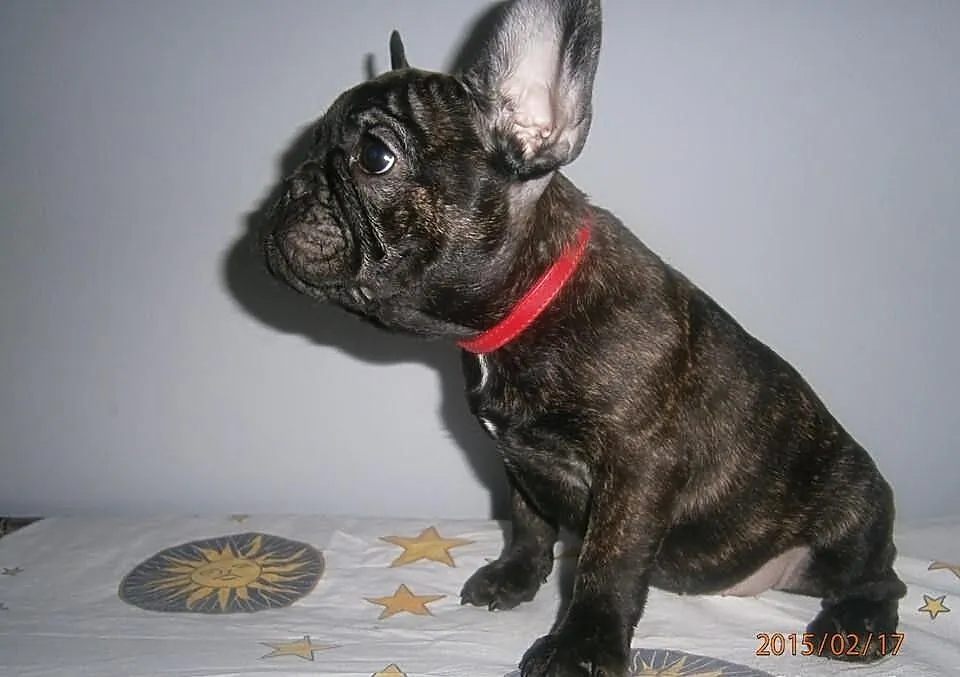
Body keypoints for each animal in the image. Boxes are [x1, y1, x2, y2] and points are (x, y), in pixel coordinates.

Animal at [262, 1, 908, 674]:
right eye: (309, 145)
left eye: (374, 156)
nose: (291, 186)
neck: (528, 308)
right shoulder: (517, 459)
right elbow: (528, 522)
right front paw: (515, 577)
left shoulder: (637, 469)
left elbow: (607, 563)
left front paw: (582, 645)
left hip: (849, 518)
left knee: (882, 576)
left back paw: (858, 624)